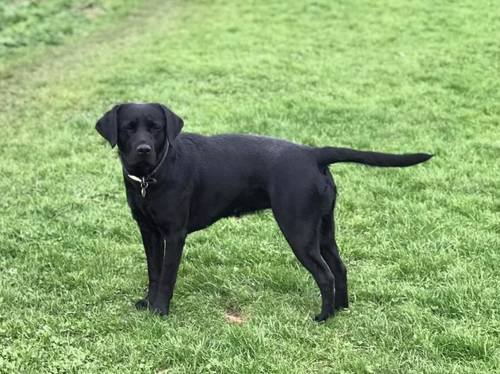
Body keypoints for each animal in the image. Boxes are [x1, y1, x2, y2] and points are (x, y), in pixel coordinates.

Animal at [95, 102, 432, 322]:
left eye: (157, 129)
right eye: (128, 129)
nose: (143, 149)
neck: (152, 176)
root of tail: (313, 154)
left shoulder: (175, 235)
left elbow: (167, 275)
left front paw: (160, 311)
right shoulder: (149, 232)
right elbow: (153, 271)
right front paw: (147, 303)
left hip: (298, 231)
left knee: (325, 275)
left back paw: (323, 316)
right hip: (323, 230)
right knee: (339, 268)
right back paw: (341, 309)